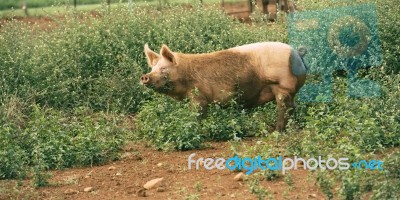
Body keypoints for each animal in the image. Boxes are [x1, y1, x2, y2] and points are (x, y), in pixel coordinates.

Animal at [142, 41, 308, 131]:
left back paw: (277, 130)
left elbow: (198, 114)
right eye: (153, 68)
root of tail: (297, 54)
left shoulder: (198, 97)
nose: (144, 77)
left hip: (282, 86)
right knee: (293, 106)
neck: (185, 75)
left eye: (164, 69)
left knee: (284, 107)